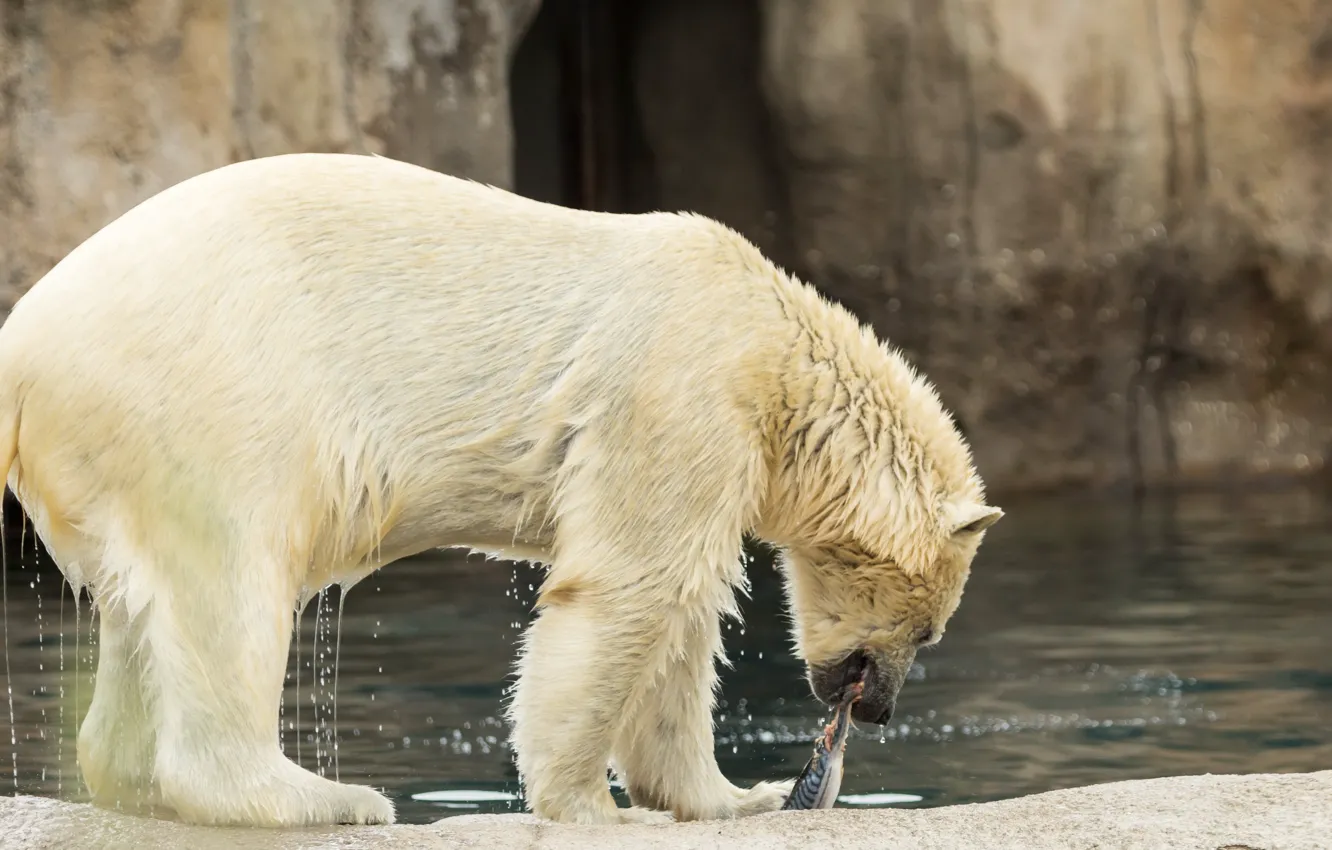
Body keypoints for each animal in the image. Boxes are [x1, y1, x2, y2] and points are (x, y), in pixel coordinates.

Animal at [0, 152, 1002, 828]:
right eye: (928, 630)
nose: (877, 708)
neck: (775, 348)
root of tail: (24, 337)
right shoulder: (677, 390)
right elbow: (630, 588)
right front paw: (596, 807)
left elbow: (685, 614)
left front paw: (734, 796)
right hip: (210, 393)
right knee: (231, 582)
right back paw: (328, 798)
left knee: (142, 610)